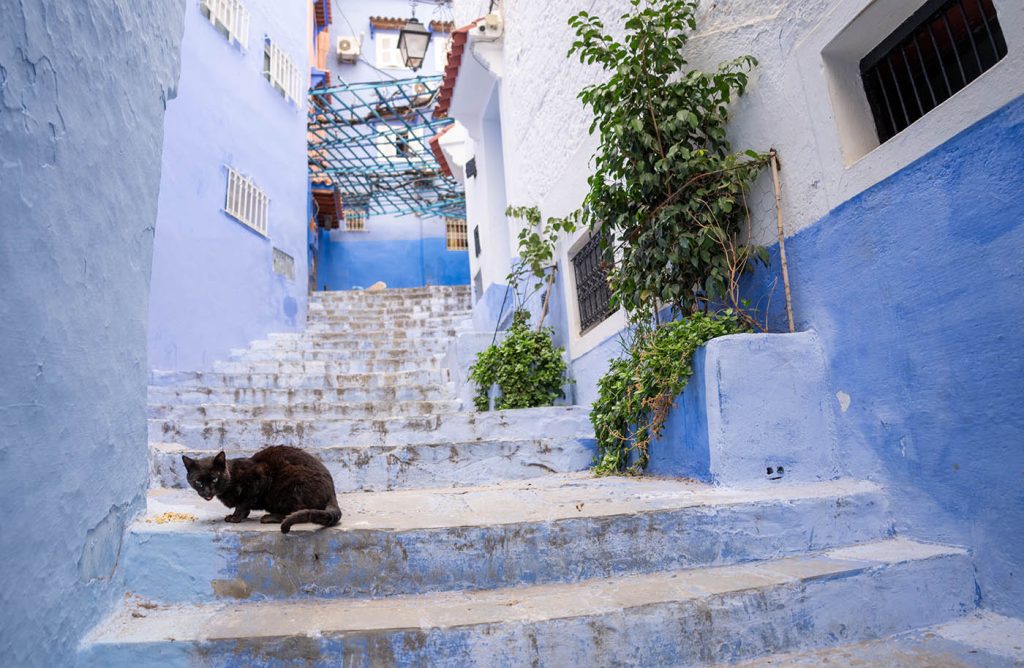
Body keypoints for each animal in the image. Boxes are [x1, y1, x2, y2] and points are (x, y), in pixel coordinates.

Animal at [182, 446, 342, 536]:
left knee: (296, 510)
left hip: (289, 484)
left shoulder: (260, 477)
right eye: (198, 482)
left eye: (214, 479)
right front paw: (242, 515)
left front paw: (235, 518)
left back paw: (269, 517)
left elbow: (243, 503)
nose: (207, 492)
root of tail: (332, 491)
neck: (232, 477)